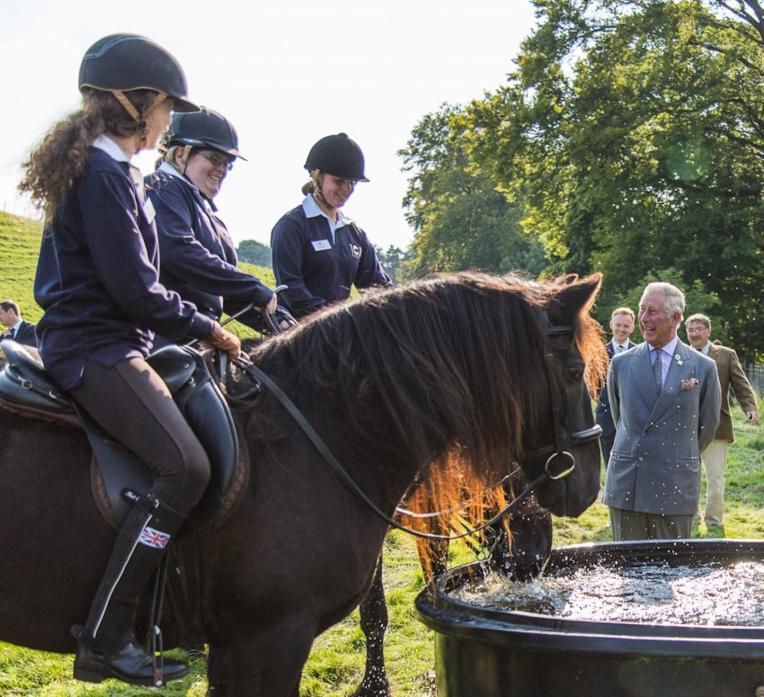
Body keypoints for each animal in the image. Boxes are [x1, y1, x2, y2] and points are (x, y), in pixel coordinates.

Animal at [0, 270, 604, 692]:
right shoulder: (268, 641)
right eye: (575, 372)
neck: (317, 427)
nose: (588, 488)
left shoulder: (237, 645)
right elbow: (373, 613)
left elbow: (376, 612)